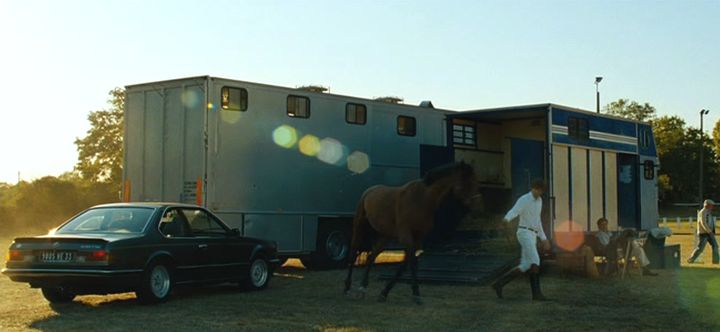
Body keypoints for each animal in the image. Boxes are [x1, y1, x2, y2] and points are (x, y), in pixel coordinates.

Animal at [344, 162, 478, 304]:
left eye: (475, 181)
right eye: (465, 182)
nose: (476, 208)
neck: (422, 199)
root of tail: (368, 191)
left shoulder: (418, 237)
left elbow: (409, 263)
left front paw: (387, 293)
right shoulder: (406, 236)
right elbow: (410, 263)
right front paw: (414, 294)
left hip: (385, 236)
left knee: (371, 257)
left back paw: (362, 288)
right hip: (359, 228)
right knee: (353, 254)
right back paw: (347, 287)